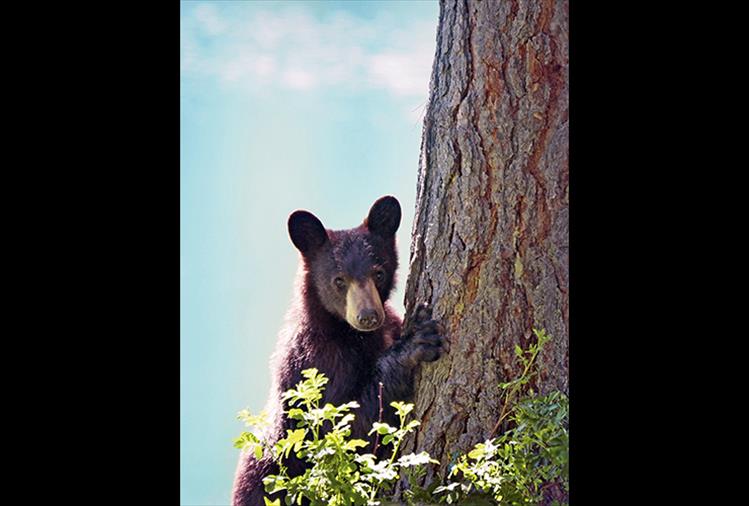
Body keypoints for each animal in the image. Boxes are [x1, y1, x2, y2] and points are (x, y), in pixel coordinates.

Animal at [232, 195, 444, 506]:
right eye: (339, 280)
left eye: (378, 273)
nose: (368, 316)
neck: (347, 333)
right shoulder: (318, 364)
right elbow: (343, 429)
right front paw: (417, 342)